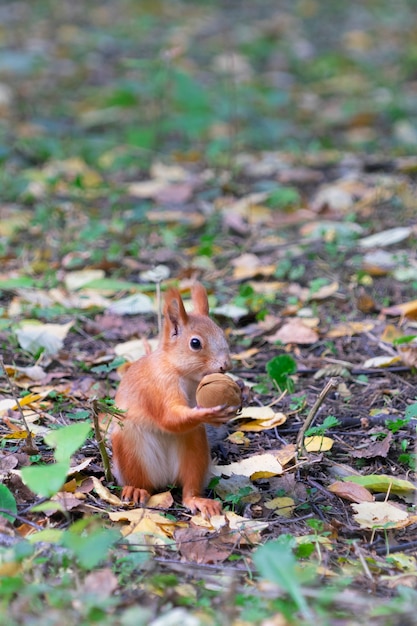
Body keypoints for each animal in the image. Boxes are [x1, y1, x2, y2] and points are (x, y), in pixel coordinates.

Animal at [110, 284, 234, 516]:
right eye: (195, 343)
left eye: (222, 333)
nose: (226, 365)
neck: (182, 373)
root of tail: (165, 478)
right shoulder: (159, 386)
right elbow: (169, 417)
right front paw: (207, 413)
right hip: (130, 447)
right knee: (141, 481)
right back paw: (136, 490)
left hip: (195, 446)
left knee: (189, 486)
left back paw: (197, 500)